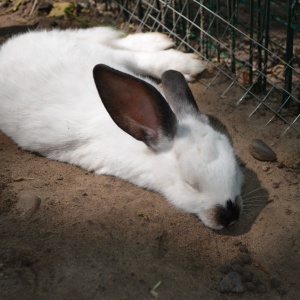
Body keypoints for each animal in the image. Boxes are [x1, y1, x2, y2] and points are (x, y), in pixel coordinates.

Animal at [0, 27, 243, 230]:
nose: (229, 216)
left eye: (235, 171)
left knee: (125, 50)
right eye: (191, 184)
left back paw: (175, 53)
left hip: (102, 55)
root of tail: (8, 48)